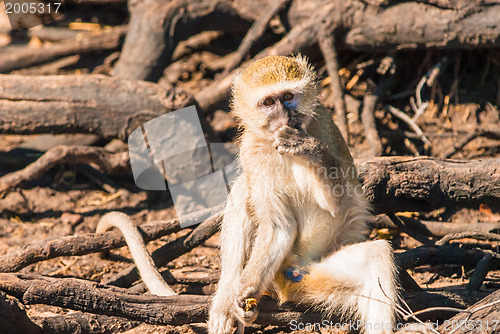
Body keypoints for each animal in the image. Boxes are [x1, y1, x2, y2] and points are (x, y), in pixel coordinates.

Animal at [207, 55, 398, 334]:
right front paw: (245, 291)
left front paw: (307, 148)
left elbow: (339, 202)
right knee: (244, 188)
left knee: (376, 255)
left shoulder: (325, 125)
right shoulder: (250, 149)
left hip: (316, 273)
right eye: (268, 103)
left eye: (288, 97)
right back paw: (227, 296)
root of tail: (296, 267)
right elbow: (279, 226)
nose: (285, 117)